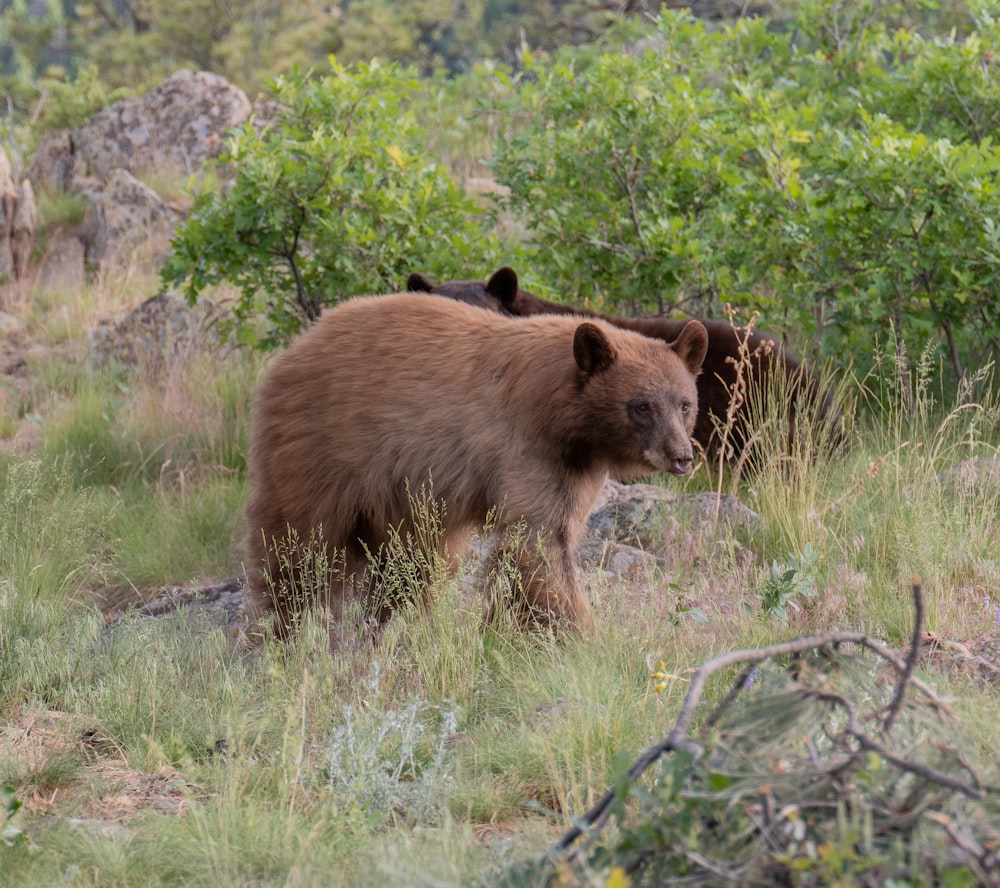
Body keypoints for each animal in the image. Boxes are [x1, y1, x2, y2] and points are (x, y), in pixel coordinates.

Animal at [245, 294, 708, 644]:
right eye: (641, 406)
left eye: (684, 404)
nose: (681, 456)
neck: (561, 415)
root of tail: (298, 346)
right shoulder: (527, 450)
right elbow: (539, 542)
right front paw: (582, 638)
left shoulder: (574, 467)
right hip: (321, 453)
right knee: (299, 549)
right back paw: (284, 630)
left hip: (399, 498)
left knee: (410, 565)